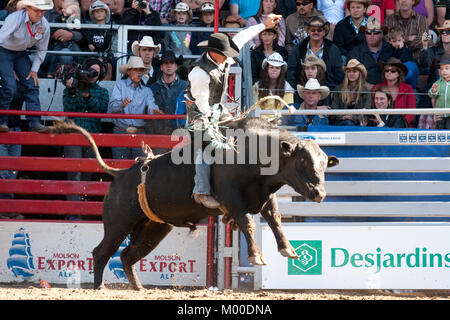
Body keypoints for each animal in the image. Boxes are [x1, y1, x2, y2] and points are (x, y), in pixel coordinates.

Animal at [49, 118, 338, 290]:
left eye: (324, 163)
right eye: (302, 161)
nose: (319, 193)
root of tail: (119, 174)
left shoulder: (266, 196)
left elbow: (275, 221)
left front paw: (288, 250)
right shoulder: (232, 197)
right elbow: (247, 222)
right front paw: (257, 255)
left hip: (154, 228)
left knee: (127, 255)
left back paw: (139, 288)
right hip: (118, 221)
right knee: (102, 252)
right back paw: (99, 287)